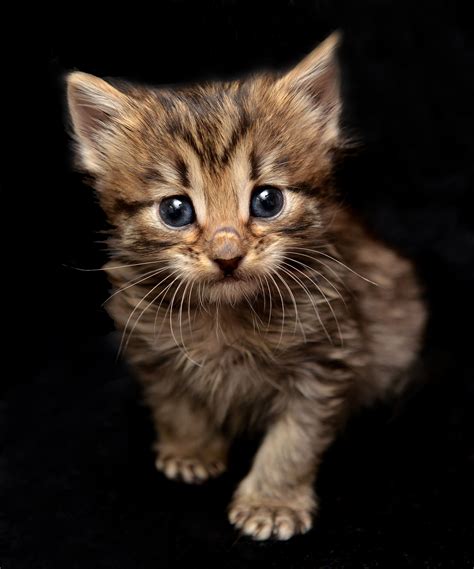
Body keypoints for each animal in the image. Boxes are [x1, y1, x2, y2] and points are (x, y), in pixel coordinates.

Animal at [66, 33, 426, 540]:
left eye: (267, 200)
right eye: (175, 210)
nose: (227, 254)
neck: (226, 313)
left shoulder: (326, 359)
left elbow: (293, 441)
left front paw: (271, 502)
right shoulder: (150, 347)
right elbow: (175, 403)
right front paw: (191, 450)